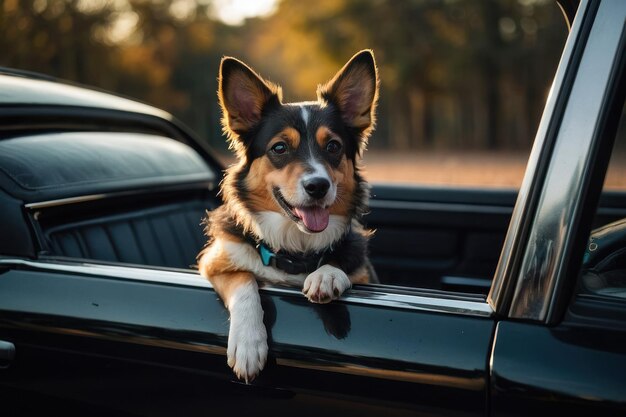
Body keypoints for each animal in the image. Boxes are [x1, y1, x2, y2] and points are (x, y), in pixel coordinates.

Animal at [197, 48, 378, 380]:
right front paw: (248, 343)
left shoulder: (366, 275)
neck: (295, 247)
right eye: (279, 148)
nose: (318, 186)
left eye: (333, 146)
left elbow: (340, 262)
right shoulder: (214, 263)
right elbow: (245, 281)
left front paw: (326, 274)